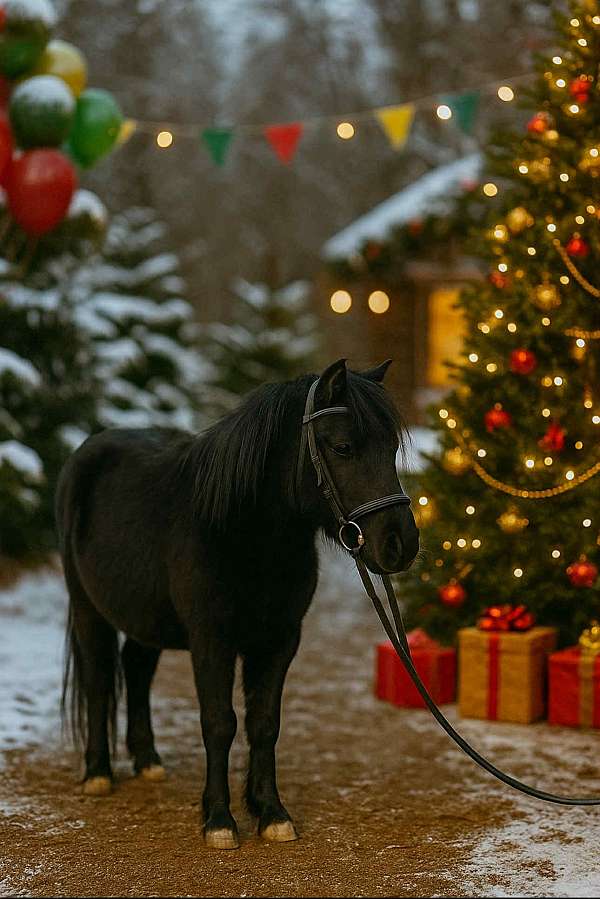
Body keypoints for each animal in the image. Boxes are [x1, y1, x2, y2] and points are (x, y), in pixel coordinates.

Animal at [56, 358, 420, 850]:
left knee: (136, 669)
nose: (400, 544)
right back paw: (98, 773)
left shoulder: (280, 640)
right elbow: (219, 722)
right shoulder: (212, 641)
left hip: (144, 616)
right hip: (88, 609)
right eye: (343, 447)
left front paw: (271, 813)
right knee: (98, 679)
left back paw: (148, 760)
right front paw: (219, 820)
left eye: (391, 447)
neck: (242, 531)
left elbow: (264, 723)